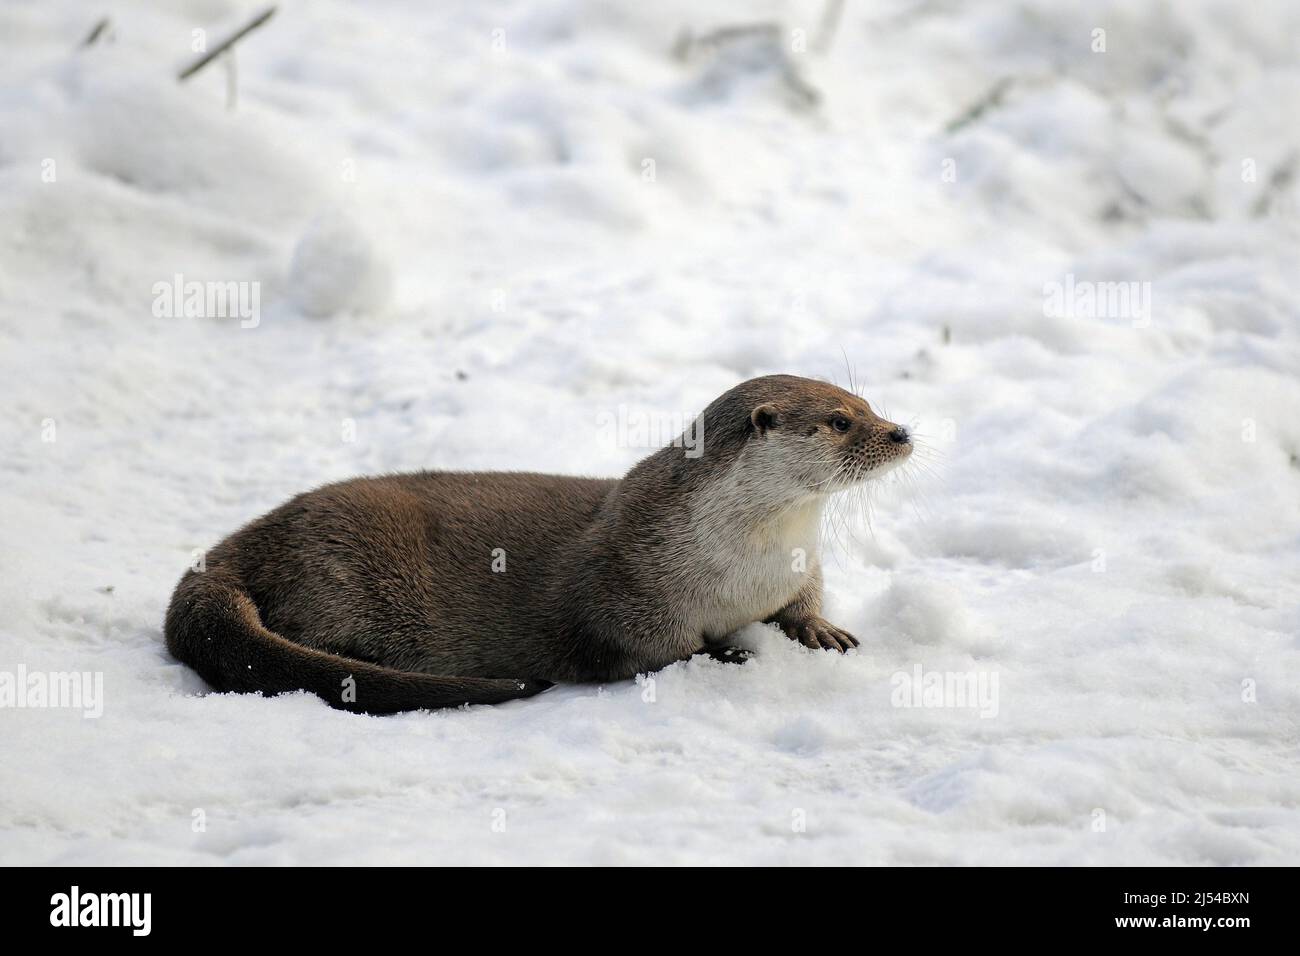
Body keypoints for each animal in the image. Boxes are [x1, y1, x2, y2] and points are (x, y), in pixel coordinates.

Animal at [164, 374, 913, 713]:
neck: (746, 565)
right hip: (339, 565)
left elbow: (805, 600)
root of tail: (236, 547)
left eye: (869, 403)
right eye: (840, 421)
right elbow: (650, 646)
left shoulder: (798, 567)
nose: (901, 431)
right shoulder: (624, 583)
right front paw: (724, 652)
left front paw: (819, 629)